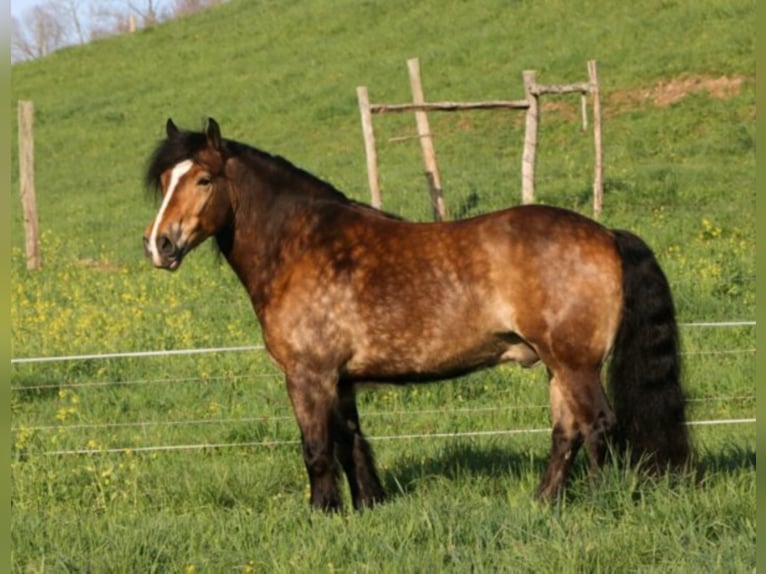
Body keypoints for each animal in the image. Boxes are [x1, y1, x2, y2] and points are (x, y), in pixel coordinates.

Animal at [141, 118, 692, 512]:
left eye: (204, 179)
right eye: (166, 180)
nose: (159, 245)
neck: (301, 244)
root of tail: (606, 234)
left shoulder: (308, 375)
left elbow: (317, 449)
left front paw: (323, 513)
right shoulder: (341, 380)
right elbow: (350, 442)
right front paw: (368, 506)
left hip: (576, 364)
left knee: (598, 426)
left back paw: (597, 503)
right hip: (558, 365)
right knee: (567, 433)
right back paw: (542, 505)